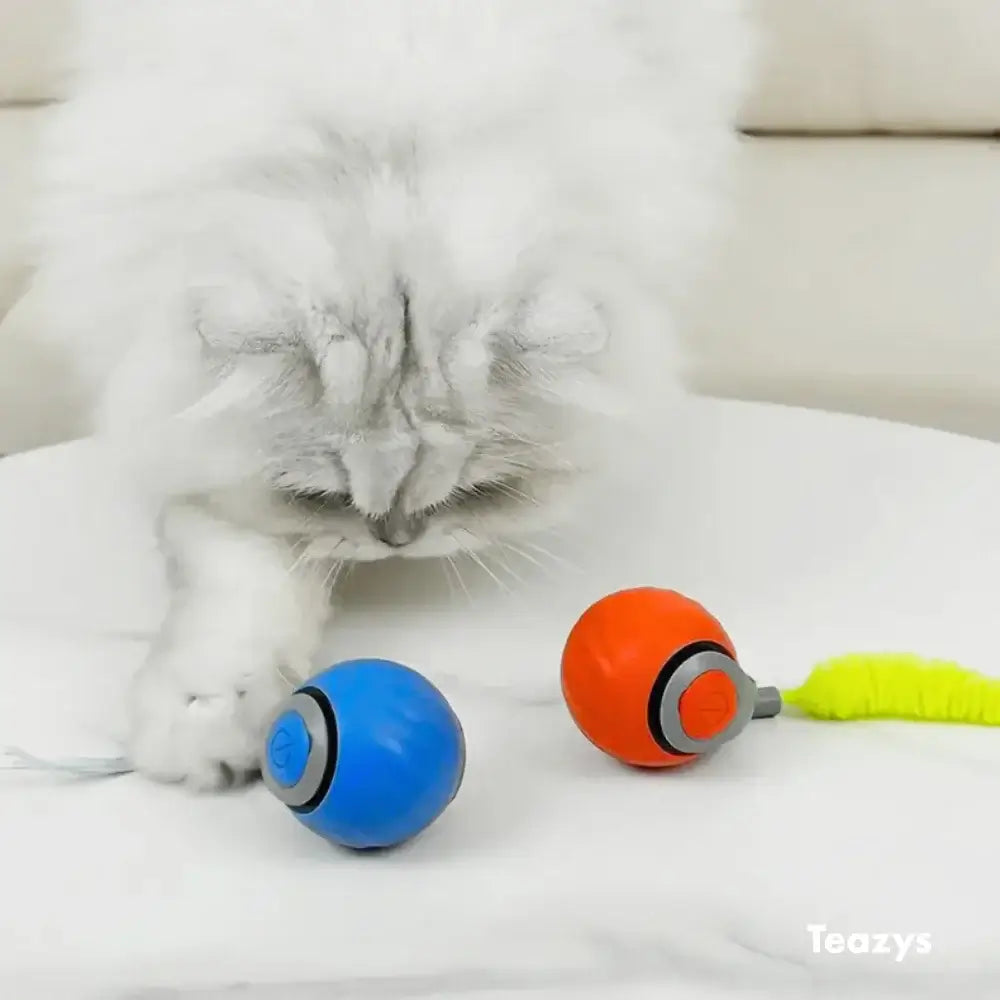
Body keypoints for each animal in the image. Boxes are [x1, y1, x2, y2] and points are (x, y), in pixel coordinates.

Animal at [11, 3, 752, 792]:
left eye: (478, 495)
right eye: (320, 499)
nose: (397, 542)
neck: (392, 151)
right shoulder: (176, 431)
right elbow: (239, 578)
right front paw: (205, 718)